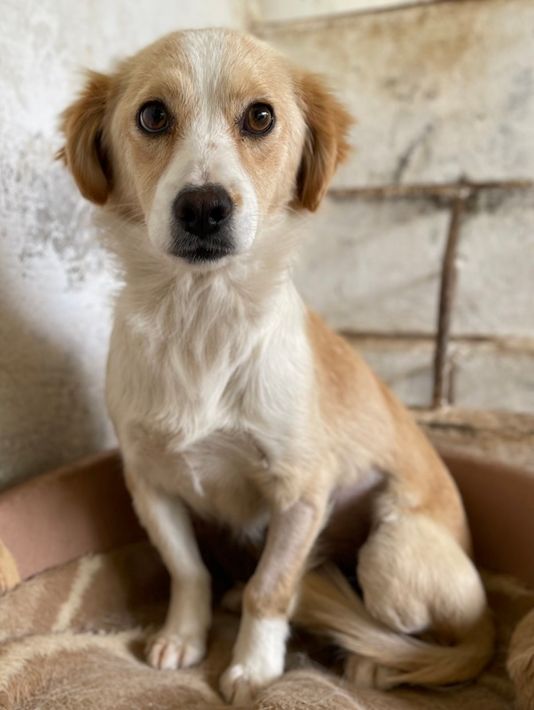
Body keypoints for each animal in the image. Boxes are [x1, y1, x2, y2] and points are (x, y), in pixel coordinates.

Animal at [58, 28, 494, 704]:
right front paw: (184, 636)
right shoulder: (150, 482)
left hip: (392, 552)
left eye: (260, 117)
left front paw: (255, 666)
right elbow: (187, 568)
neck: (202, 317)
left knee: (416, 633)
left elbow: (272, 588)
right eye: (152, 115)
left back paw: (370, 663)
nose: (204, 207)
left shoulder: (302, 494)